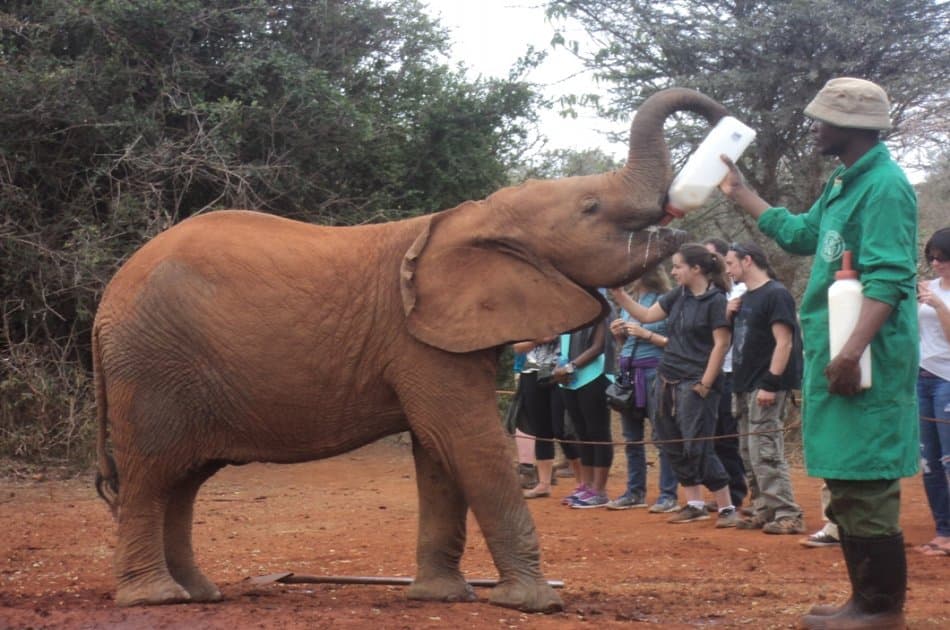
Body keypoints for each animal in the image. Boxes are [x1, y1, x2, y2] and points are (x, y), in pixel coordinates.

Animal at [93, 87, 730, 611]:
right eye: (591, 208)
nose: (724, 148)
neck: (475, 214)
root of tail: (106, 303)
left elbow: (439, 454)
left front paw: (442, 596)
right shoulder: (420, 340)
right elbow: (467, 440)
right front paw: (533, 603)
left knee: (183, 480)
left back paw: (199, 594)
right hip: (150, 367)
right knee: (153, 474)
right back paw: (156, 599)